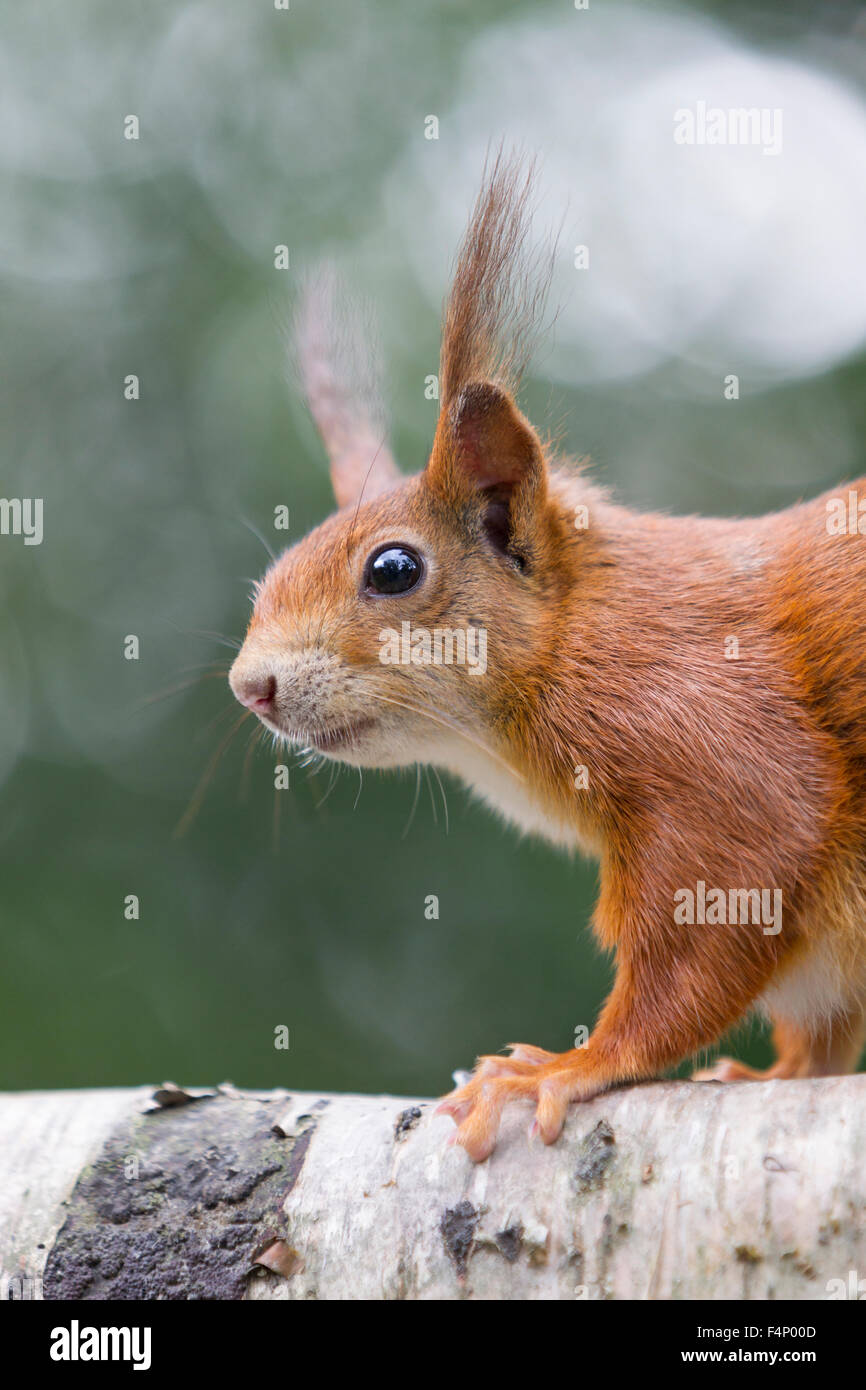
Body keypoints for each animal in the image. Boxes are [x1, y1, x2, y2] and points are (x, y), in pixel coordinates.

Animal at [229, 154, 866, 1162]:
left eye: (393, 570)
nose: (250, 686)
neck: (575, 632)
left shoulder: (708, 740)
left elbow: (719, 907)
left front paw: (566, 1066)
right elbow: (821, 1028)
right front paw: (778, 1074)